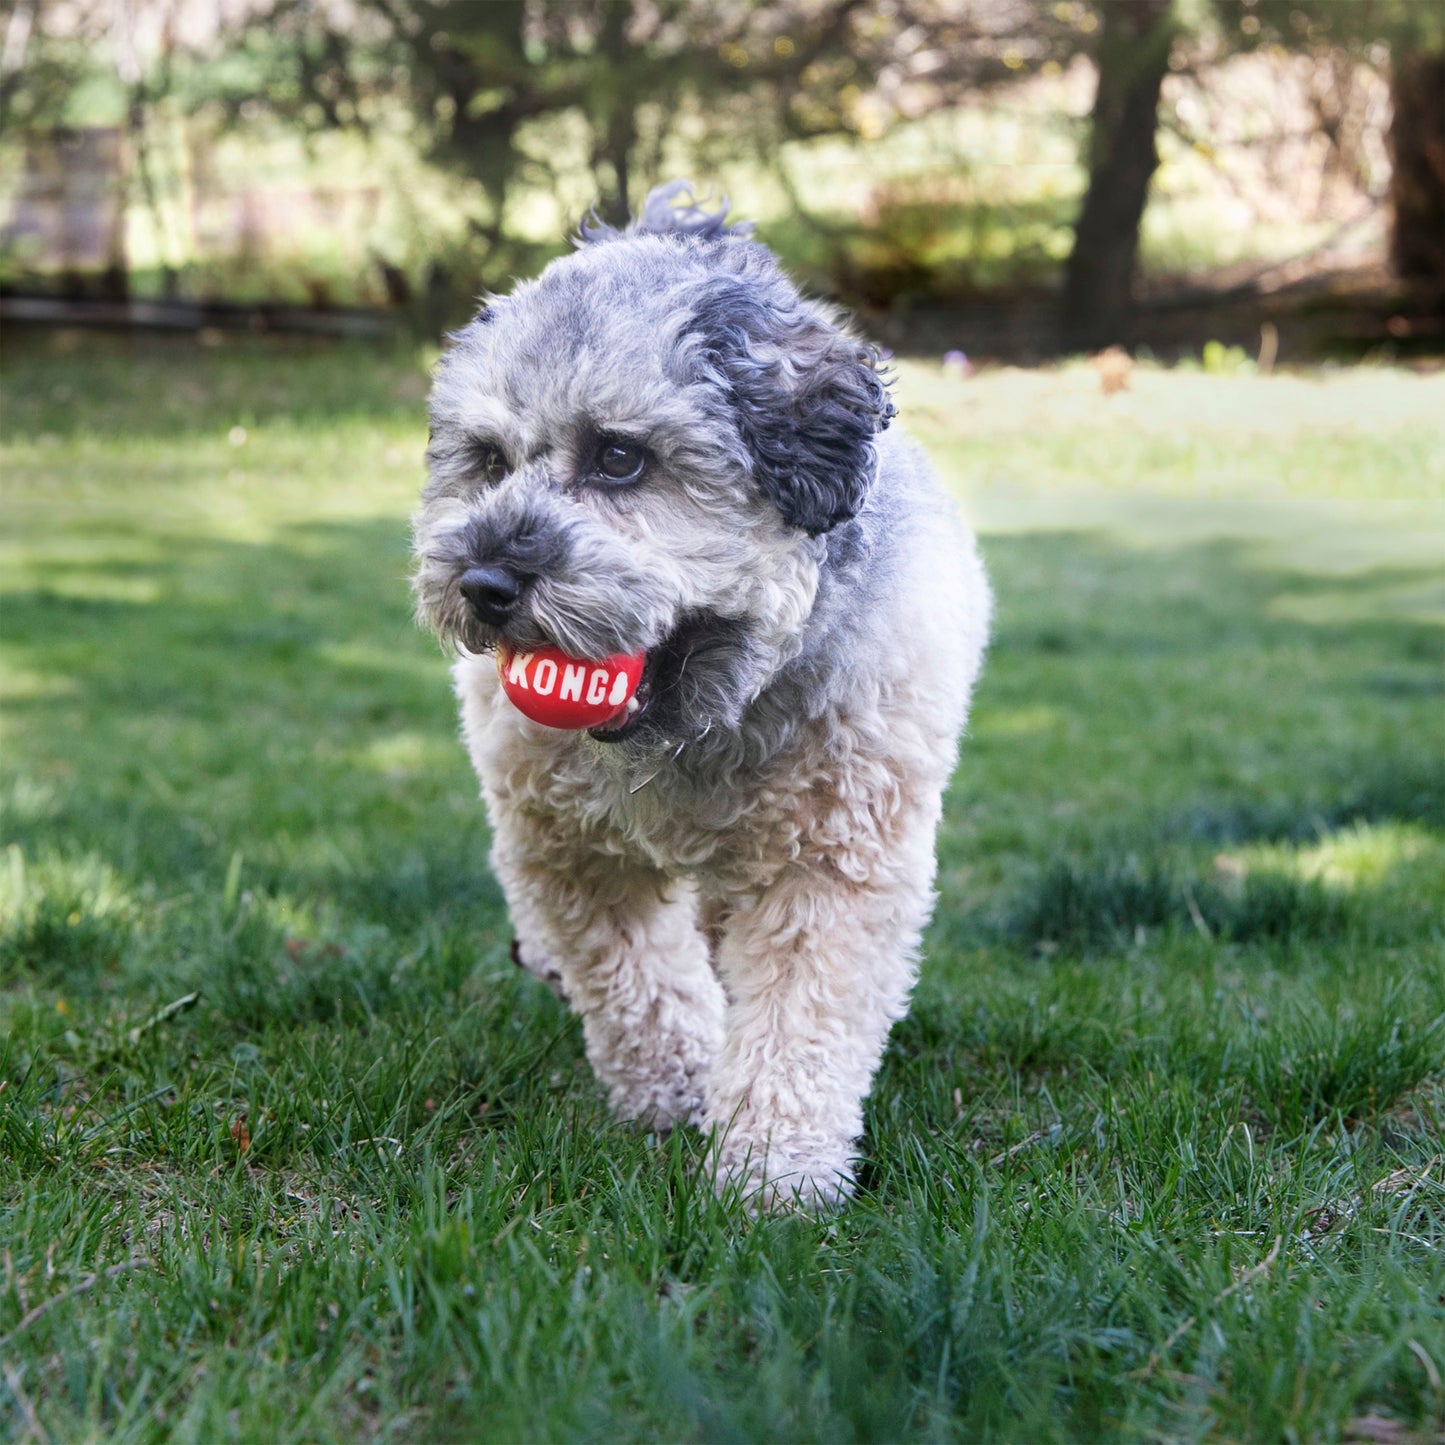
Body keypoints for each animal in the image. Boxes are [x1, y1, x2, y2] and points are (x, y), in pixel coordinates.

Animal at [413, 186, 988, 1213]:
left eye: (619, 457)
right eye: (487, 458)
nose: (482, 582)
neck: (695, 732)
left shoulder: (830, 865)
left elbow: (799, 1020)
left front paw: (772, 1173)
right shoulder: (569, 852)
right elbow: (635, 980)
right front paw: (676, 1089)